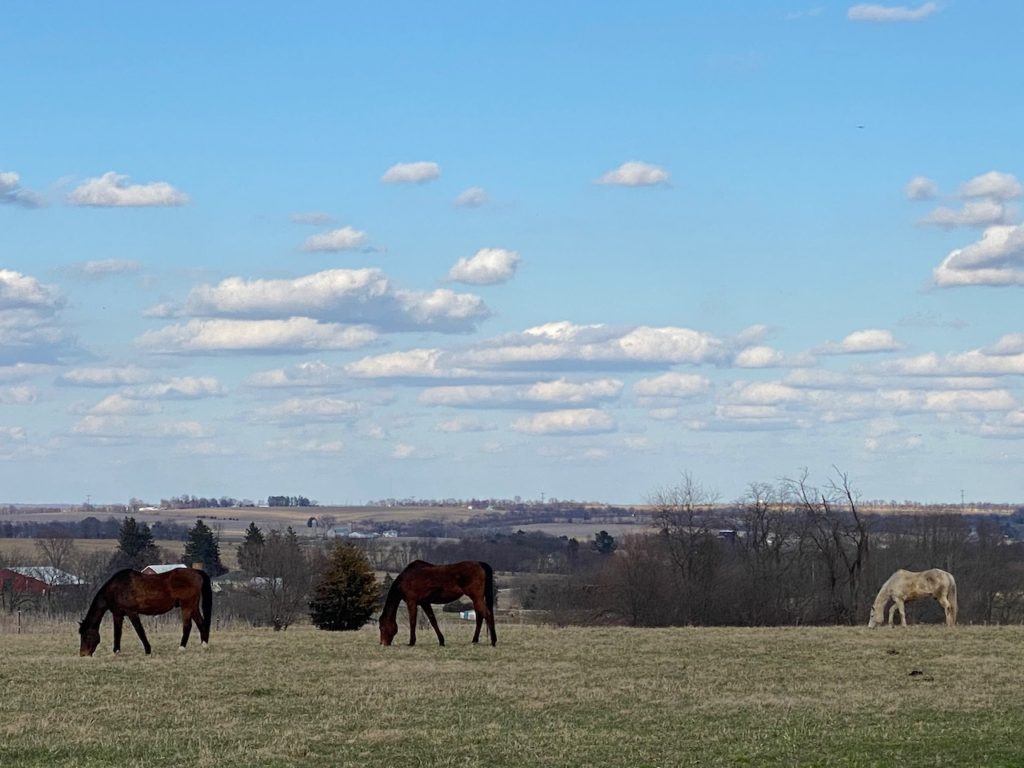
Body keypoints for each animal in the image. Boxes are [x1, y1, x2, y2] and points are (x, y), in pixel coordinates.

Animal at [78, 569, 212, 659]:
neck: (117, 588)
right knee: (201, 623)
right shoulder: (118, 614)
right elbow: (117, 633)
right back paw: (204, 646)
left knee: (187, 626)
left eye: (85, 635)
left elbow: (140, 631)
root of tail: (196, 572)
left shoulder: (132, 613)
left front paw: (148, 650)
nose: (83, 654)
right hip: (193, 607)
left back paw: (181, 648)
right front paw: (116, 651)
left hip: (186, 607)